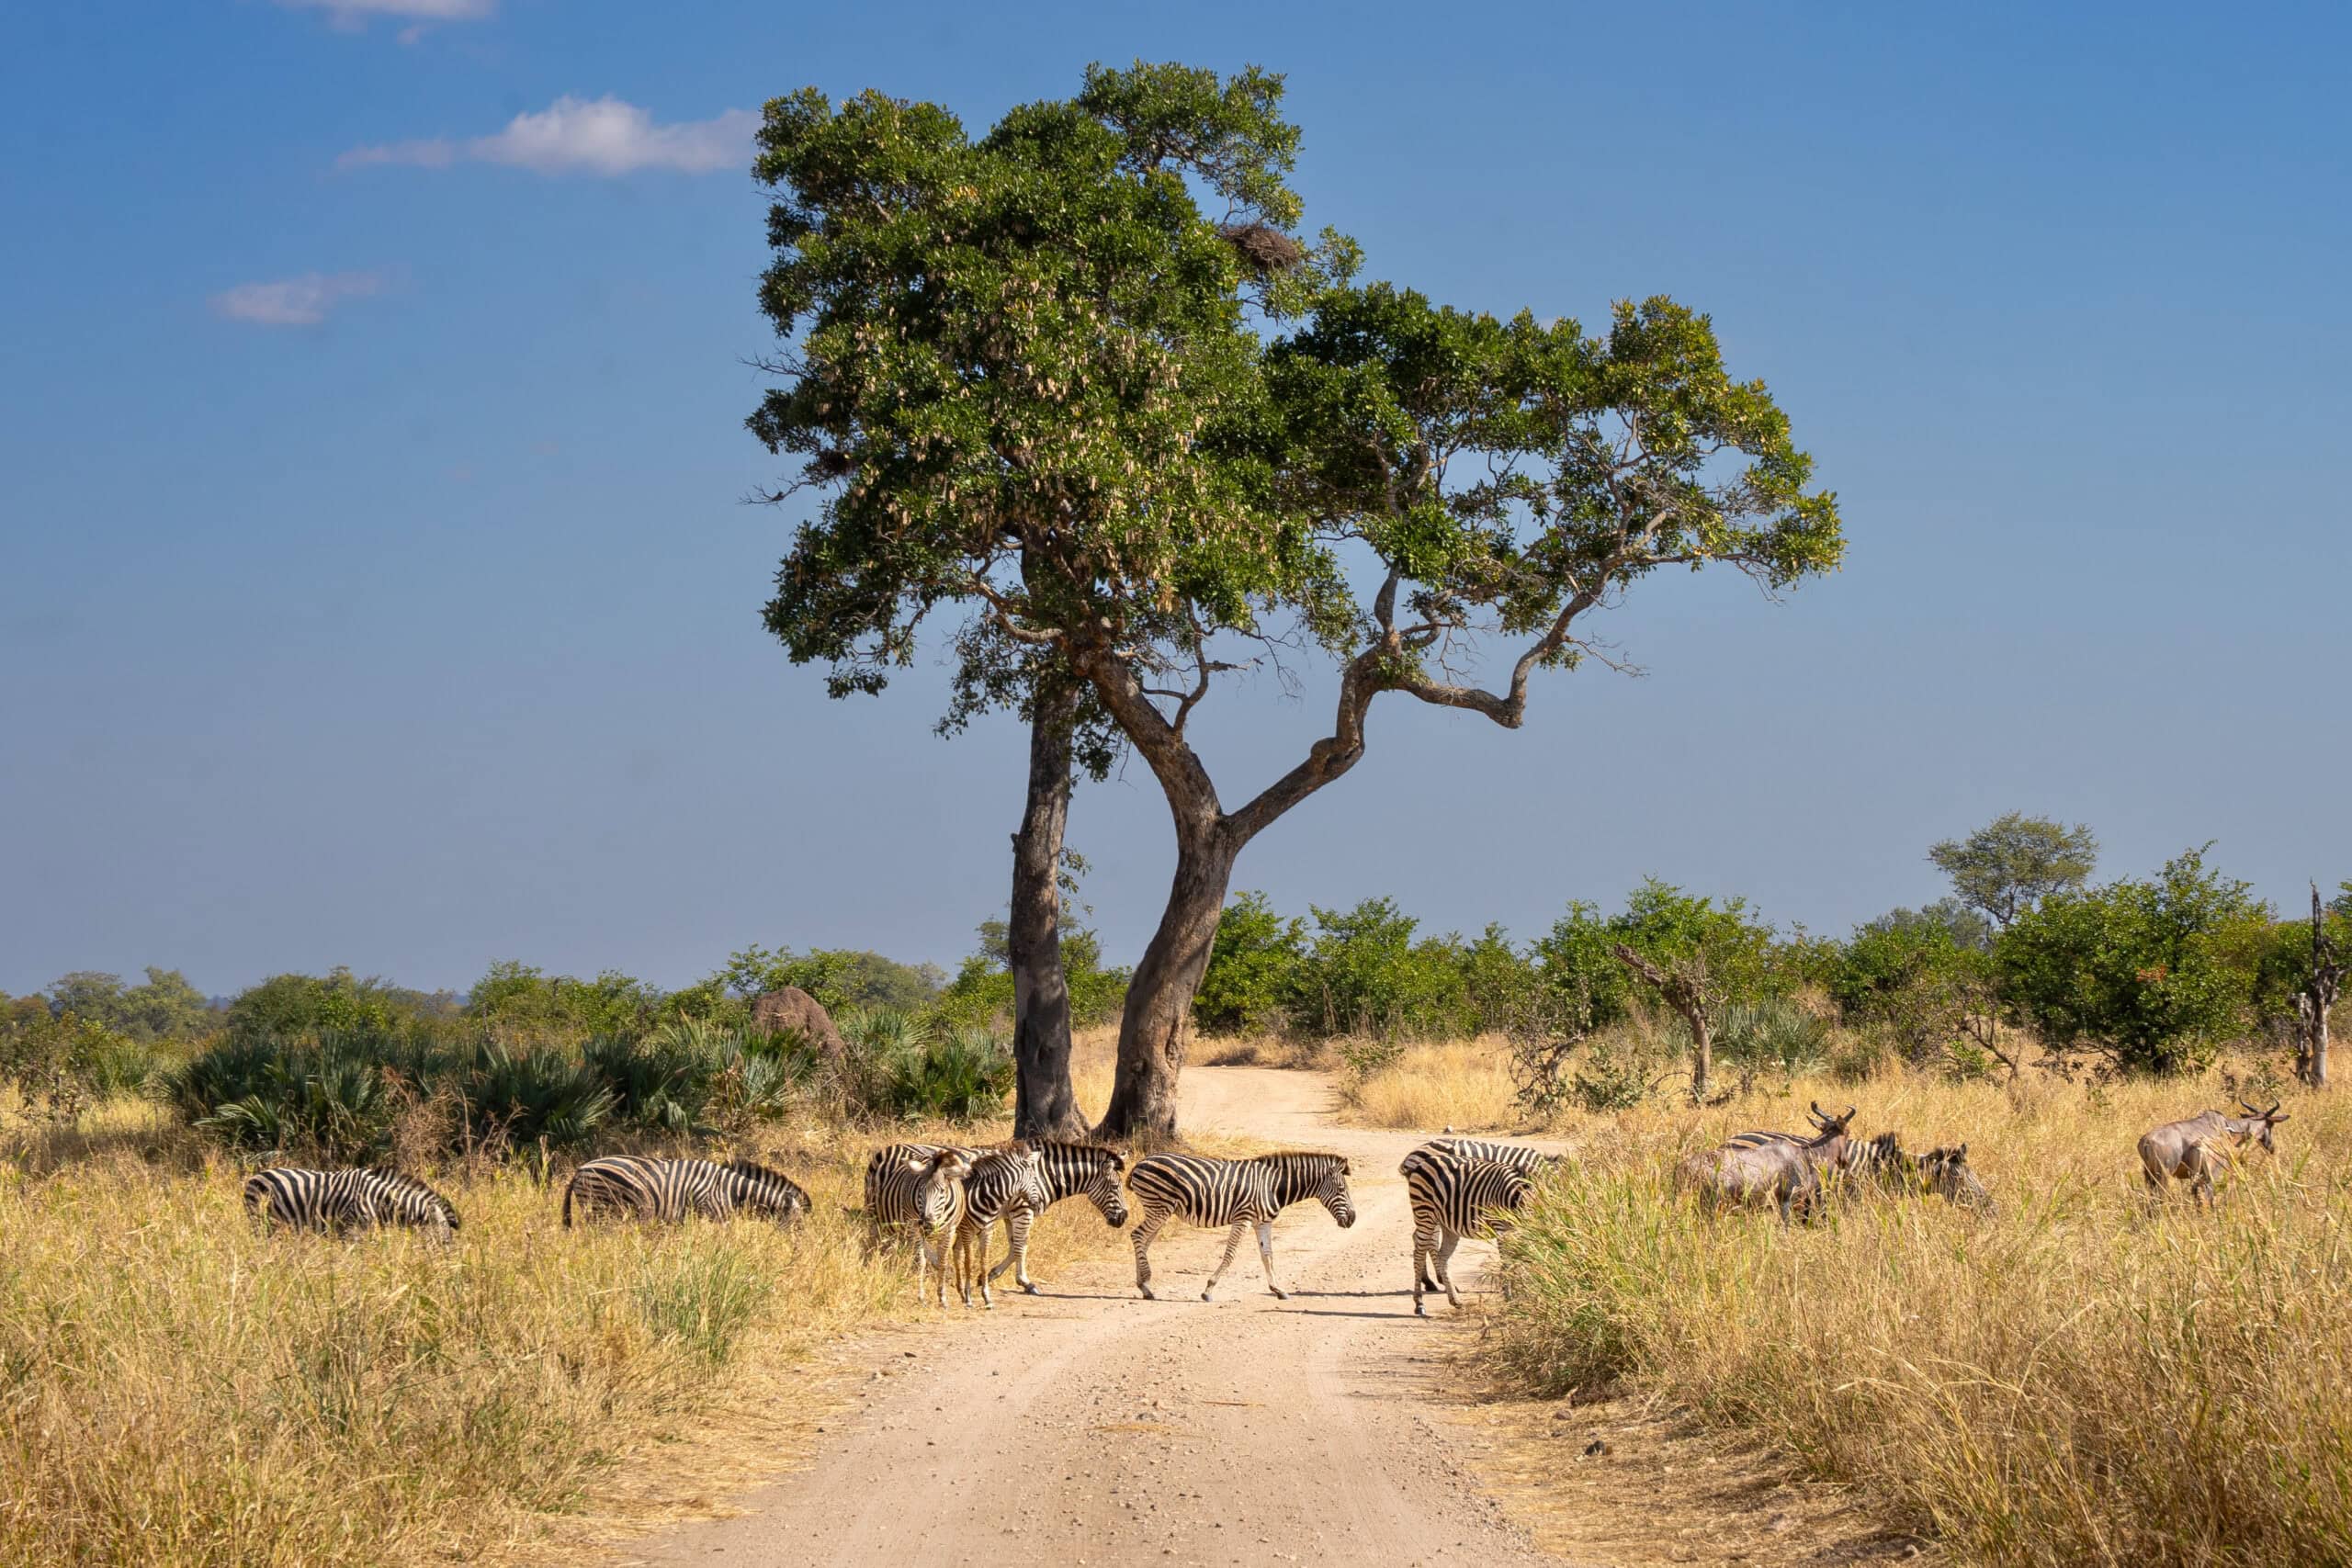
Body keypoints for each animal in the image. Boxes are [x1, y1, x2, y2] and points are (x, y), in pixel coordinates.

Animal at [560, 1156, 809, 1227]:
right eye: (798, 1224)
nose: (799, 1251)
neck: (732, 1190)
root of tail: (580, 1169)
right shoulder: (715, 1215)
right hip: (600, 1206)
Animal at [1124, 1151, 1354, 1301]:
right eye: (1341, 1190)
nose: (1353, 1219)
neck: (1272, 1187)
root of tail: (1142, 1162)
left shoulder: (1263, 1222)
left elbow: (1267, 1255)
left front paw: (1277, 1289)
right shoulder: (1243, 1218)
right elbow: (1230, 1255)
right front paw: (1208, 1290)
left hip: (1160, 1210)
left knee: (1143, 1241)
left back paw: (1143, 1285)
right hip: (1159, 1207)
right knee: (1137, 1236)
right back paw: (1147, 1286)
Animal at [1401, 1150, 1534, 1317]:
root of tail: (1422, 1163)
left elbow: (1520, 1259)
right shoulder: (1501, 1227)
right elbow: (1508, 1262)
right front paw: (1512, 1297)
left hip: (1447, 1224)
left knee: (1440, 1255)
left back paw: (1454, 1300)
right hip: (1425, 1213)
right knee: (1419, 1253)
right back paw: (1419, 1302)